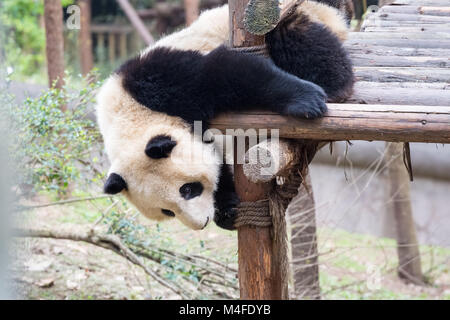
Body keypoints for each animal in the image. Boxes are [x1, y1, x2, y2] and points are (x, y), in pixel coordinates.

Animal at [96, 0, 356, 230]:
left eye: (187, 190)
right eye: (167, 211)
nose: (202, 223)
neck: (130, 116)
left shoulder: (160, 82)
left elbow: (226, 72)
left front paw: (306, 100)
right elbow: (217, 161)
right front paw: (227, 209)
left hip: (294, 19)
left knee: (300, 38)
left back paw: (333, 86)